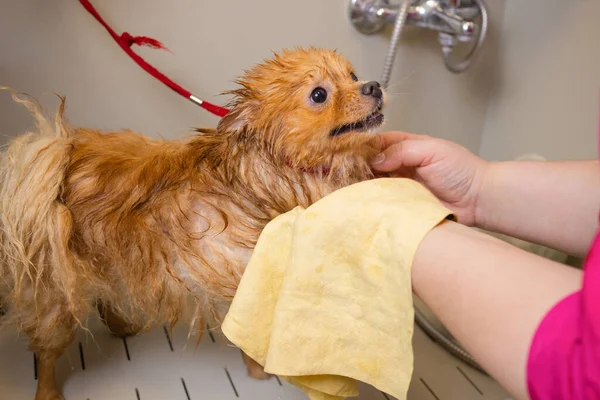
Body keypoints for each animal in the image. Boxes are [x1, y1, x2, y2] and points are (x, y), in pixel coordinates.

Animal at [0, 47, 384, 400]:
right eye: (319, 95)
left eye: (352, 76)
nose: (374, 85)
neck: (276, 166)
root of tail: (50, 155)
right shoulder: (245, 274)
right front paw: (258, 369)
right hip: (55, 293)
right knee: (47, 352)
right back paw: (47, 391)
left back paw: (122, 325)